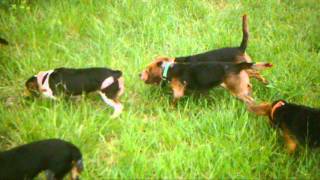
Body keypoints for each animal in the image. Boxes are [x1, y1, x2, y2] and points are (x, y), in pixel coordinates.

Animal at [140, 56, 270, 104]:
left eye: (148, 70)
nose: (138, 74)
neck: (169, 68)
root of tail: (237, 66)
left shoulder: (178, 92)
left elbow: (173, 101)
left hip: (238, 91)